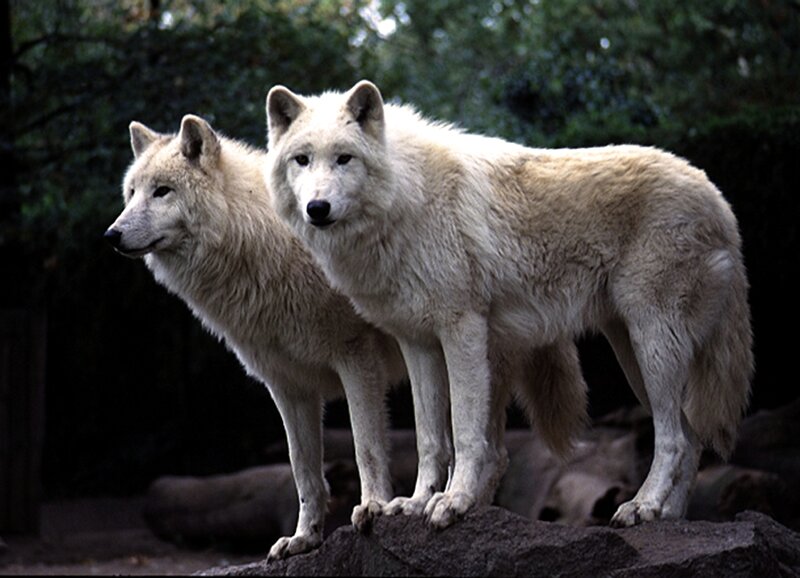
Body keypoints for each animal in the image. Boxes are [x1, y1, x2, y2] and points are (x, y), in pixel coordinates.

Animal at [104, 114, 408, 560]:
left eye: (162, 191)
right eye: (131, 193)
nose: (112, 234)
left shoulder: (358, 360)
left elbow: (365, 446)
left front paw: (373, 509)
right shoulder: (288, 386)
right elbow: (302, 468)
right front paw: (304, 538)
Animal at [264, 80, 753, 529]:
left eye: (344, 158)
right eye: (301, 160)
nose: (317, 207)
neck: (407, 198)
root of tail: (720, 202)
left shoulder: (463, 329)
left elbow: (465, 433)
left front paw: (453, 502)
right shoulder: (418, 343)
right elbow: (429, 438)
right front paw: (417, 503)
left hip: (652, 344)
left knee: (673, 439)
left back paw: (643, 506)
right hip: (634, 353)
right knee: (691, 437)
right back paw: (669, 517)